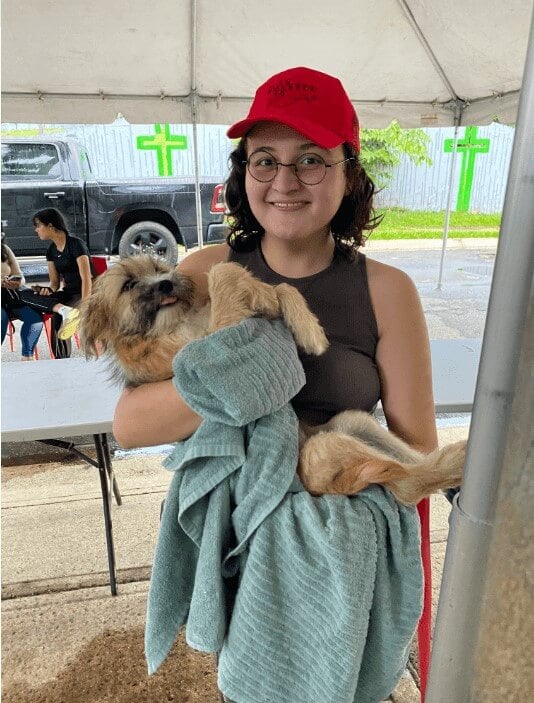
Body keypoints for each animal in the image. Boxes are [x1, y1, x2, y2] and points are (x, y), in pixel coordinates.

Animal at [79, 256, 464, 504]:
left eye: (159, 268)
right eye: (129, 285)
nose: (166, 282)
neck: (176, 324)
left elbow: (277, 285)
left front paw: (303, 325)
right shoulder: (213, 347)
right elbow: (222, 271)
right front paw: (259, 292)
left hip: (353, 423)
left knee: (409, 466)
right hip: (325, 449)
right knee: (408, 484)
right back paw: (456, 460)